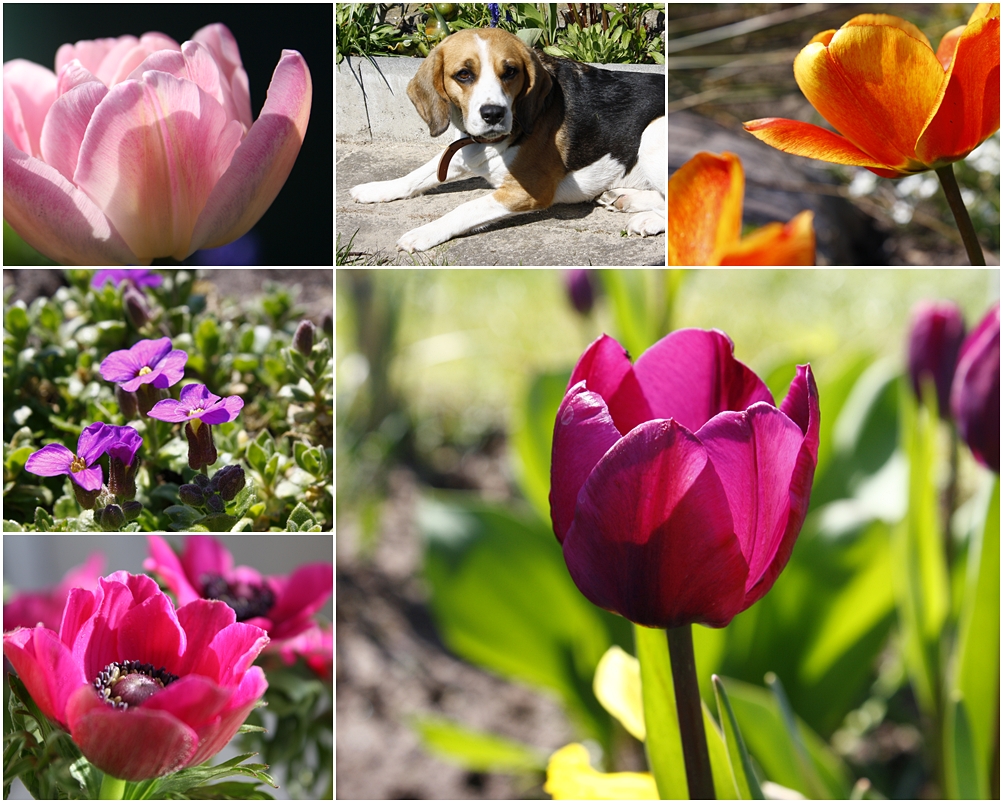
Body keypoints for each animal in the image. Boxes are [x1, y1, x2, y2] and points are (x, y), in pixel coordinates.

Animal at [349, 28, 670, 252]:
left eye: (510, 71)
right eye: (463, 74)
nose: (493, 113)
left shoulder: (528, 191)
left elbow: (464, 208)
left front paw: (424, 233)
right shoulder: (465, 152)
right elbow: (416, 176)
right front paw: (377, 189)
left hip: (653, 132)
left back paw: (648, 218)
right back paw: (624, 198)